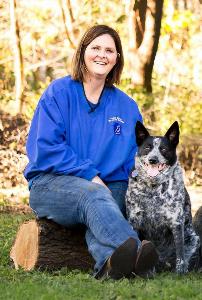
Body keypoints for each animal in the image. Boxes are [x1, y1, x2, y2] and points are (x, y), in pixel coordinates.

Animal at [125, 120, 200, 274]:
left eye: (164, 149)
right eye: (147, 148)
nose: (153, 160)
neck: (153, 189)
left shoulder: (176, 222)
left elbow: (180, 252)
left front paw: (180, 272)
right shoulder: (134, 221)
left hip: (194, 239)